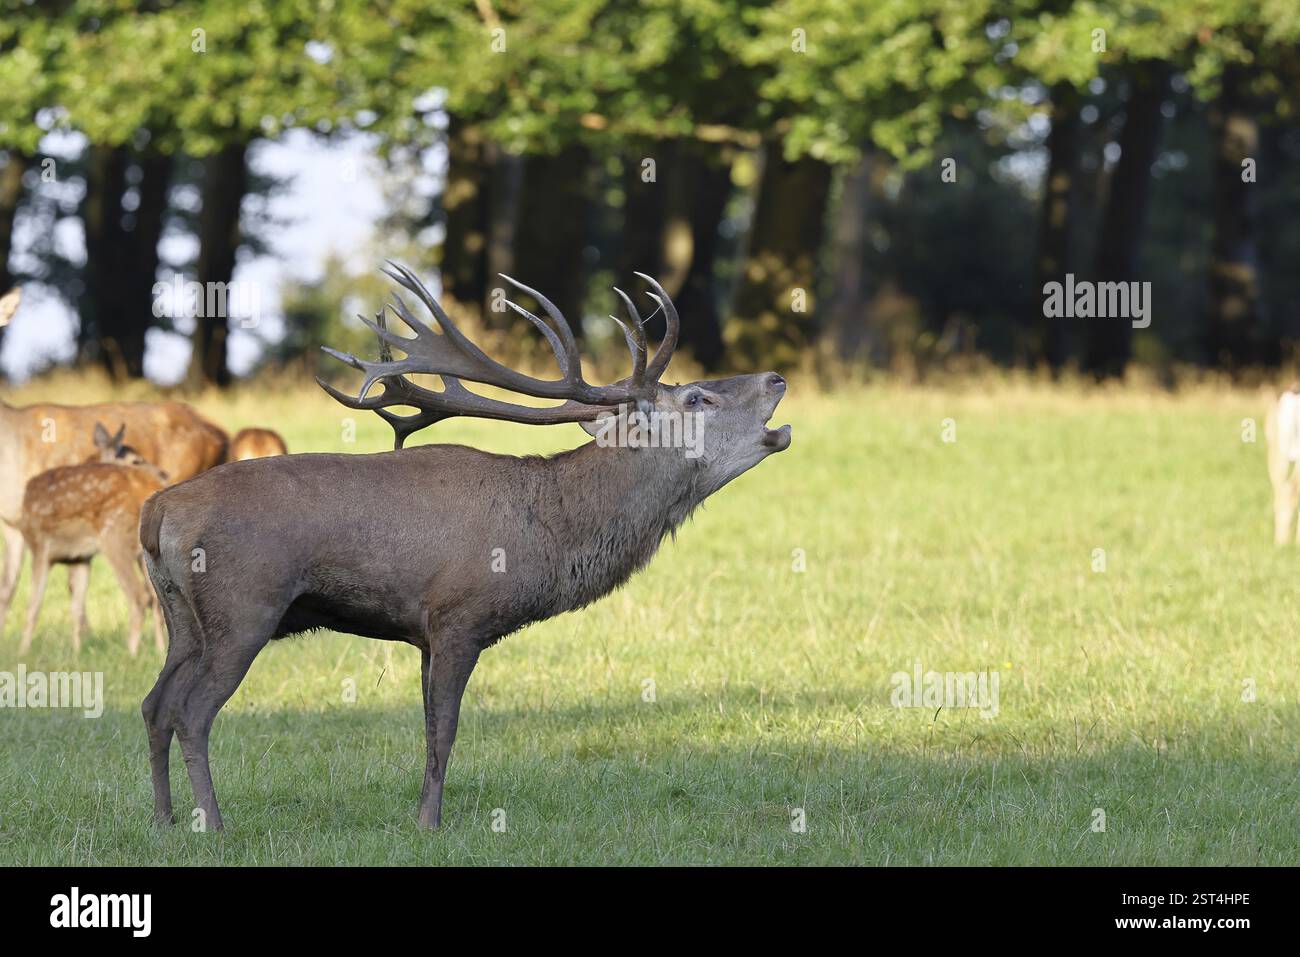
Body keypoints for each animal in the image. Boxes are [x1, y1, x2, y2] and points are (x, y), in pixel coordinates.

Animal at [18, 423, 169, 655]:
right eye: (136, 459)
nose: (165, 473)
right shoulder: (80, 557)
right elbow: (76, 607)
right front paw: (76, 652)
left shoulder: (39, 546)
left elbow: (33, 606)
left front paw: (22, 653)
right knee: (154, 596)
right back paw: (160, 651)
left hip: (115, 537)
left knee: (139, 596)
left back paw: (131, 653)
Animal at [139, 263, 790, 830]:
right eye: (698, 398)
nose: (776, 377)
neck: (548, 533)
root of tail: (157, 512)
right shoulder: (459, 616)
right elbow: (445, 729)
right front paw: (430, 824)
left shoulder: (424, 633)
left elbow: (429, 727)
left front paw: (421, 816)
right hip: (243, 607)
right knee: (192, 712)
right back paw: (213, 824)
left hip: (183, 619)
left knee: (154, 703)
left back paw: (165, 821)